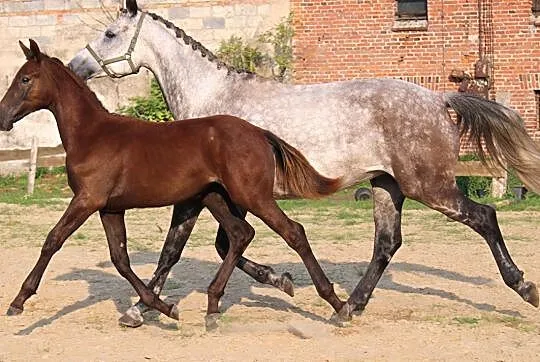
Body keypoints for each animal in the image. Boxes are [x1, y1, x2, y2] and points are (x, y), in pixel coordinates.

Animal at [0, 39, 346, 322]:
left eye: (25, 79)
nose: (3, 117)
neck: (92, 135)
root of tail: (259, 132)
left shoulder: (87, 200)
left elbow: (53, 240)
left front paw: (18, 301)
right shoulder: (110, 208)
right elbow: (120, 259)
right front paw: (161, 306)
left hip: (252, 197)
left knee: (293, 232)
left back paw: (338, 303)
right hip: (214, 197)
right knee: (240, 234)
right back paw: (214, 303)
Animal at [68, 0, 540, 326]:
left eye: (110, 33)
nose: (75, 67)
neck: (213, 102)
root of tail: (440, 98)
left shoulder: (202, 195)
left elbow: (176, 249)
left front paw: (138, 310)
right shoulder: (225, 196)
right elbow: (223, 245)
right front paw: (280, 280)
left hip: (430, 187)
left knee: (484, 217)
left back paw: (524, 286)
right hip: (388, 187)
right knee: (387, 244)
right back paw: (348, 307)